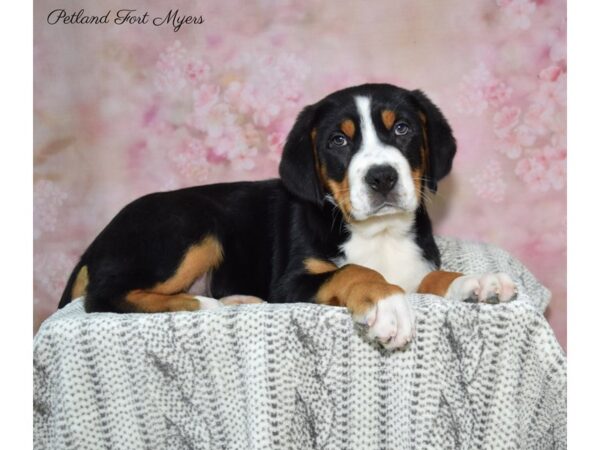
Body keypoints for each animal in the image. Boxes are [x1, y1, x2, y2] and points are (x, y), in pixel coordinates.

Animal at [59, 85, 516, 352]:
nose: (382, 177)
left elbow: (436, 277)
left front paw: (477, 283)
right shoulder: (291, 281)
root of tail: (95, 244)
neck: (379, 232)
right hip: (192, 226)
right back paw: (206, 304)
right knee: (103, 296)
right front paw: (387, 304)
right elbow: (354, 271)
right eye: (338, 140)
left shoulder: (415, 267)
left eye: (402, 129)